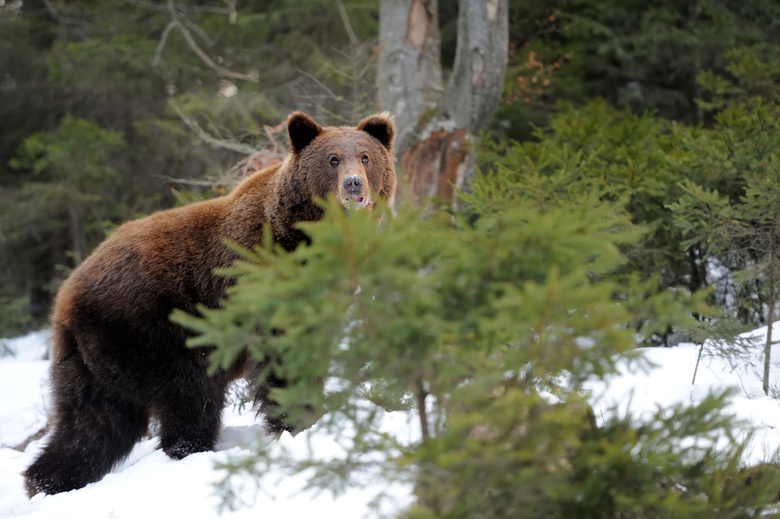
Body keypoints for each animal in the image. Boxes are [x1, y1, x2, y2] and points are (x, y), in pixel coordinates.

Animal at [22, 111, 396, 498]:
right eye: (332, 159)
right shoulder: (259, 278)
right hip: (155, 329)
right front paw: (295, 421)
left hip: (90, 357)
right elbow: (281, 358)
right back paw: (191, 448)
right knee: (189, 395)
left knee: (92, 423)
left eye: (366, 156)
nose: (353, 184)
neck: (307, 237)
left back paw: (47, 481)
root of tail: (65, 295)